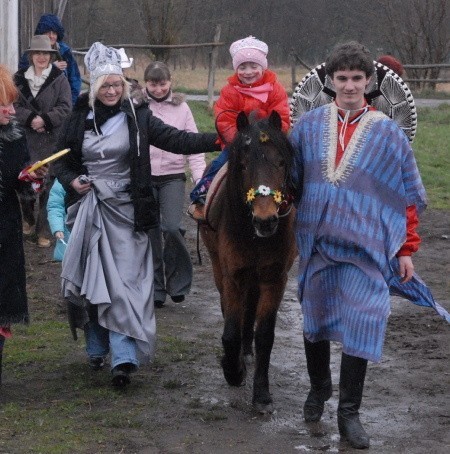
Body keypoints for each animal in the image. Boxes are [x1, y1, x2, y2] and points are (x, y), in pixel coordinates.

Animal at [200, 111, 298, 414]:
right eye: (243, 165)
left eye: (281, 162)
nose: (265, 220)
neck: (254, 235)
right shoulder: (233, 275)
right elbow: (230, 331)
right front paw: (233, 372)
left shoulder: (274, 279)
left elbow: (264, 335)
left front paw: (262, 394)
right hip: (221, 270)